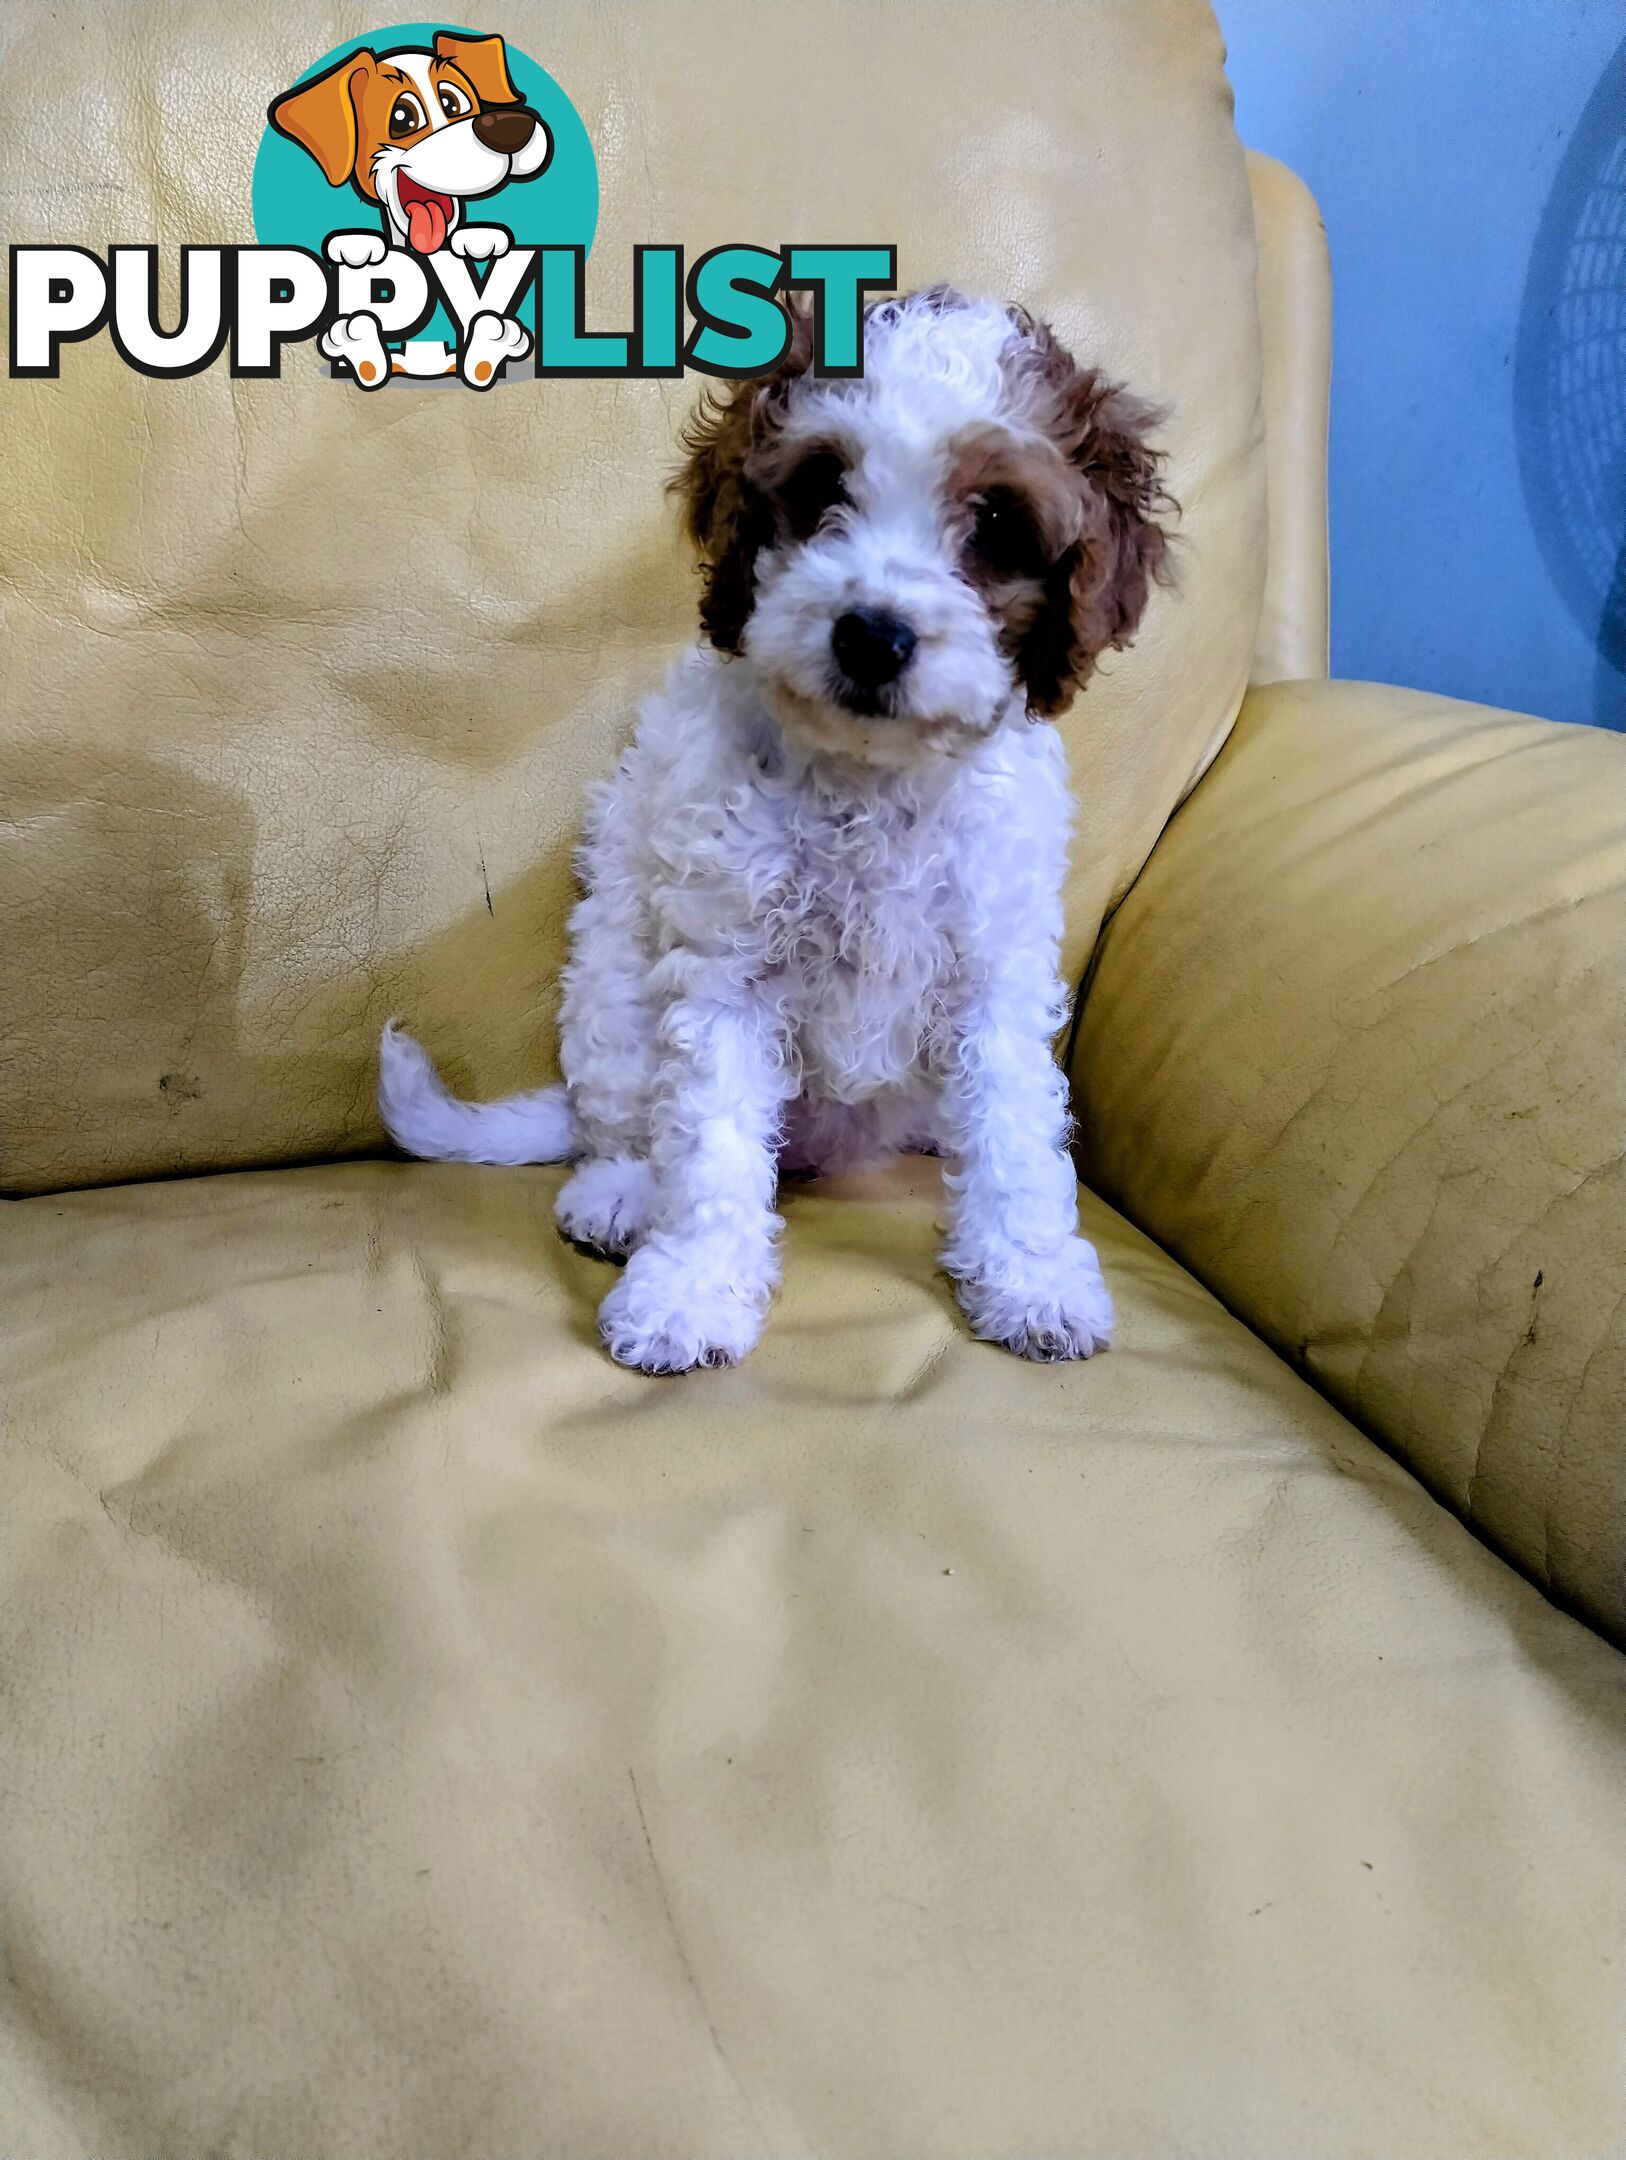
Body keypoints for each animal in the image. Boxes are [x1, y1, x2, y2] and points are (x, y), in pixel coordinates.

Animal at [380, 287, 1166, 1373]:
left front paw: (1033, 1277)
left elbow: (1014, 1134)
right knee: (620, 1123)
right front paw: (690, 1295)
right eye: (824, 481)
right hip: (610, 987)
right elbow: (709, 1150)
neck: (871, 775)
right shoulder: (727, 971)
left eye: (1002, 521)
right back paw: (618, 1194)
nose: (872, 635)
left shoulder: (995, 971)